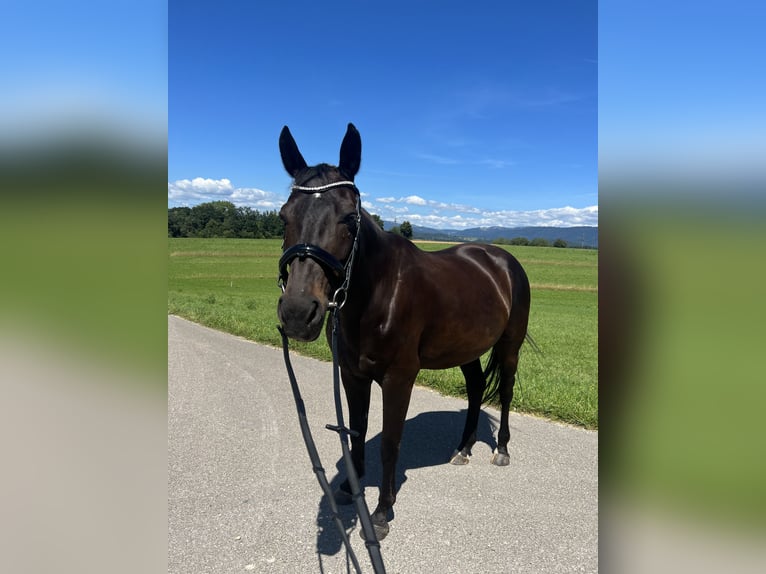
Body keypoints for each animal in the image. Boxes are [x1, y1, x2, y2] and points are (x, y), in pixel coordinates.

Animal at [278, 124, 536, 544]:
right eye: (284, 216)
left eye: (349, 219)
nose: (299, 313)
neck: (379, 293)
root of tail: (501, 260)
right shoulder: (352, 375)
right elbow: (357, 430)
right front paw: (350, 488)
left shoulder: (399, 379)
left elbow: (390, 442)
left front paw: (382, 511)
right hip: (466, 349)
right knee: (476, 387)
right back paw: (463, 448)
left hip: (509, 346)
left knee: (506, 391)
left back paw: (500, 450)